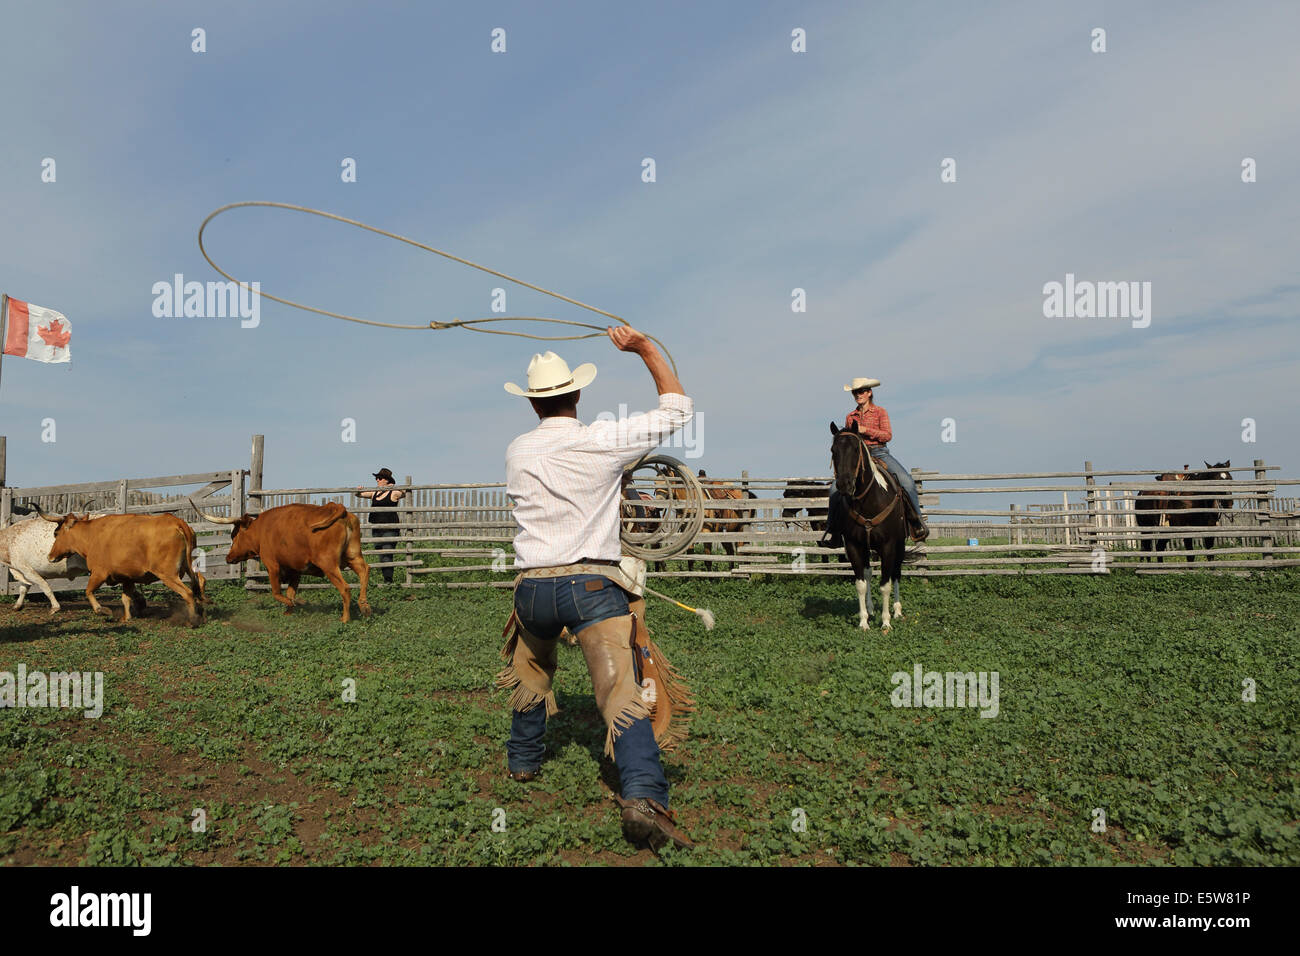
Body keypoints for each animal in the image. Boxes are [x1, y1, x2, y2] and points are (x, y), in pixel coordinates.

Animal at [45, 515, 205, 629]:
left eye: (56, 533)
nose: (50, 556)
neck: (92, 535)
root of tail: (177, 522)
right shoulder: (127, 578)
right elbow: (126, 598)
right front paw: (127, 617)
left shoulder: (99, 573)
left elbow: (88, 591)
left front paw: (102, 610)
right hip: (189, 566)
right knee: (200, 581)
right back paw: (201, 611)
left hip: (168, 575)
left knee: (188, 593)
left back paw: (192, 621)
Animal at [197, 496, 371, 624]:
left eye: (235, 535)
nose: (228, 557)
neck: (262, 530)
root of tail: (336, 507)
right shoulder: (295, 570)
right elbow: (290, 592)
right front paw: (289, 611)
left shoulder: (272, 566)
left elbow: (277, 593)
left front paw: (292, 604)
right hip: (353, 557)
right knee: (365, 571)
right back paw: (364, 606)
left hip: (329, 564)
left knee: (345, 588)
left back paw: (345, 618)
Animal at [826, 421, 909, 632]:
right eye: (833, 450)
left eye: (856, 449)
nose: (844, 484)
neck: (870, 502)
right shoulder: (854, 546)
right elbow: (861, 583)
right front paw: (863, 621)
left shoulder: (888, 546)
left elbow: (886, 584)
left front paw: (886, 622)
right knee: (869, 572)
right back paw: (871, 610)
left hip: (900, 545)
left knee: (896, 573)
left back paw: (897, 611)